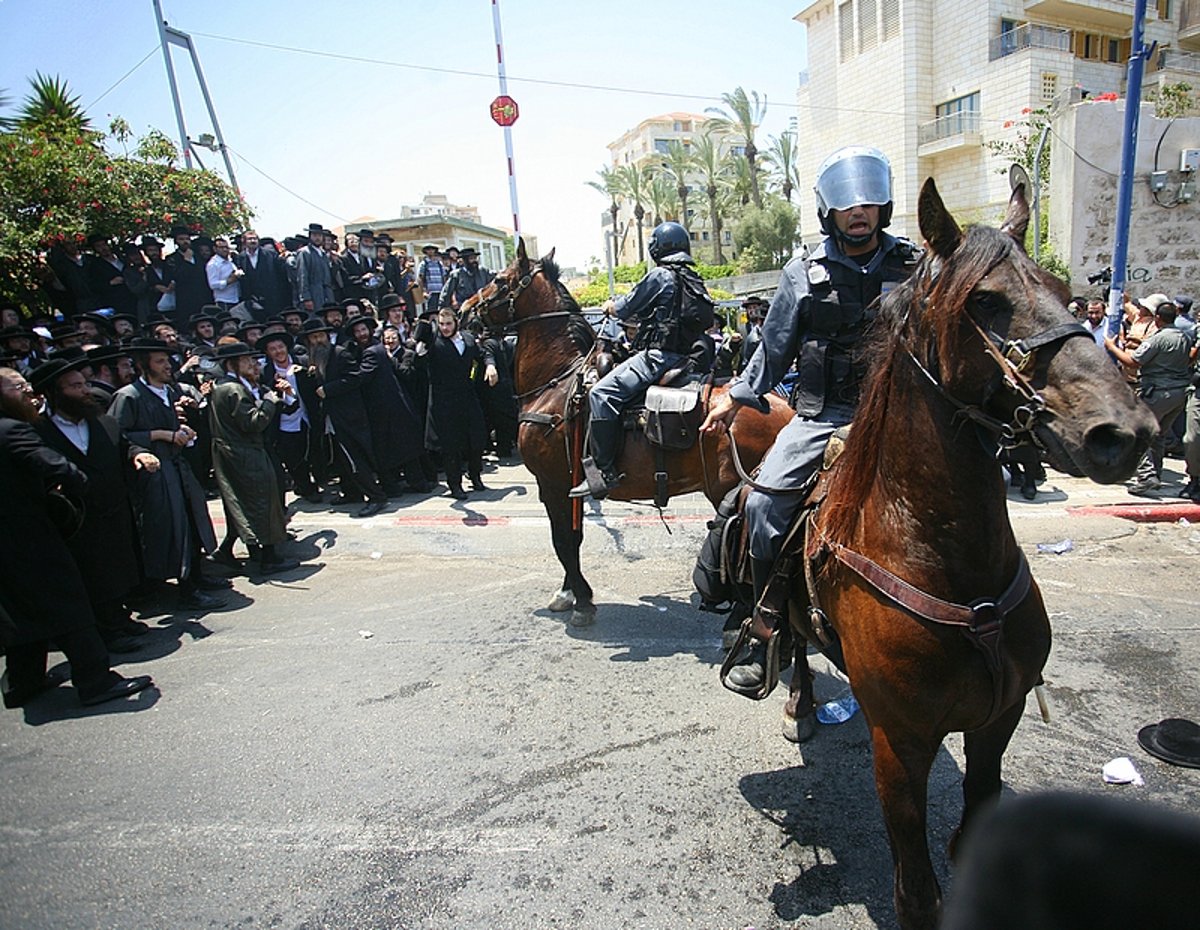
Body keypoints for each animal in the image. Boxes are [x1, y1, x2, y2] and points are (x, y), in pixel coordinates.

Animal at [463, 243, 792, 628]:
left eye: (500, 279)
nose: (464, 309)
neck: (556, 381)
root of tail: (786, 409)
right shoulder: (568, 484)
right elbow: (572, 537)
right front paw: (568, 592)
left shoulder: (552, 483)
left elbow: (563, 540)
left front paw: (582, 601)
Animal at [772, 180, 1156, 930]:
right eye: (985, 301)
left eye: (1064, 293)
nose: (1123, 433)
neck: (944, 555)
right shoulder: (901, 745)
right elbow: (916, 889)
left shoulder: (997, 721)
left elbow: (975, 828)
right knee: (795, 638)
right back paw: (798, 702)